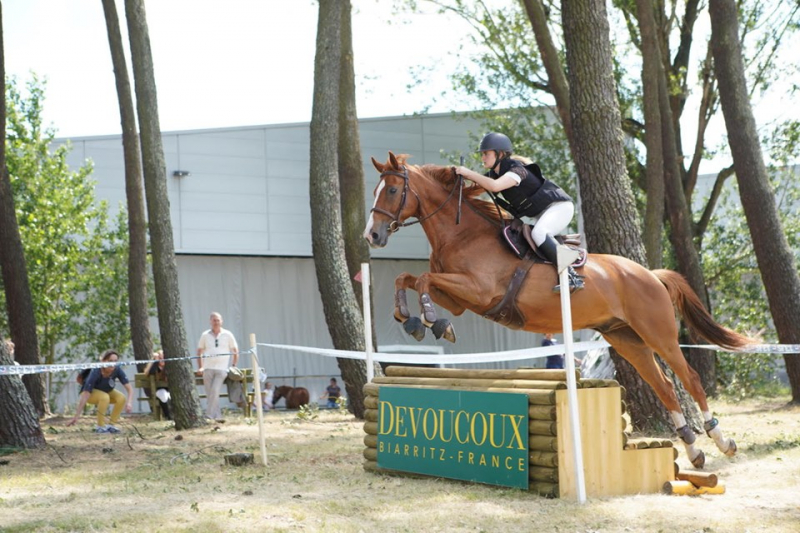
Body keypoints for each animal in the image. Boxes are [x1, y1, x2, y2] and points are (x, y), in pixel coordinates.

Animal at [362, 150, 756, 466]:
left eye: (393, 190)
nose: (372, 236)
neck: (462, 233)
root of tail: (651, 275)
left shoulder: (478, 290)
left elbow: (424, 280)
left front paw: (429, 321)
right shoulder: (459, 300)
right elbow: (406, 277)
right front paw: (410, 318)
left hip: (657, 333)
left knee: (689, 379)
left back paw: (722, 440)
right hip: (626, 338)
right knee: (664, 386)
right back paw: (694, 450)